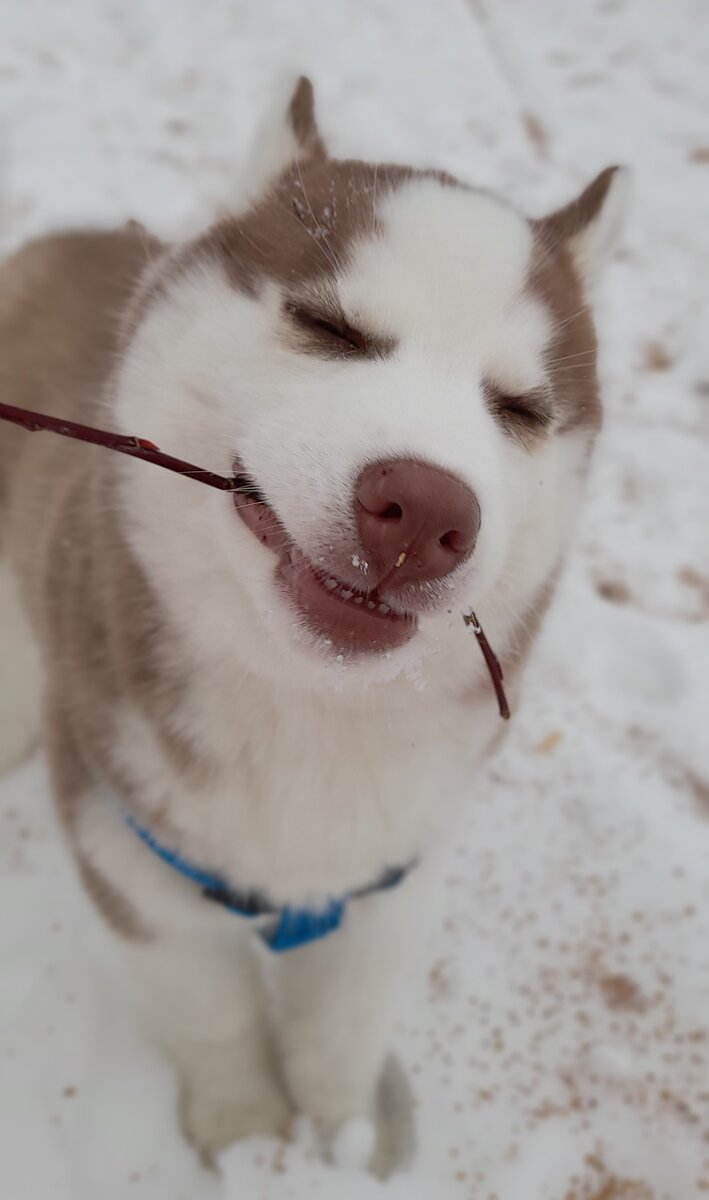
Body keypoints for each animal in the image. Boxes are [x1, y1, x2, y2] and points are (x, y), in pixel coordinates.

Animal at [0, 77, 628, 1171]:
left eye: (521, 406)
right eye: (328, 326)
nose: (422, 512)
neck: (306, 715)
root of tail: (73, 234)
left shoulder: (391, 881)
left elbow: (341, 1029)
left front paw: (343, 1139)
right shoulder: (131, 864)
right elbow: (211, 1018)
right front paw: (246, 1136)